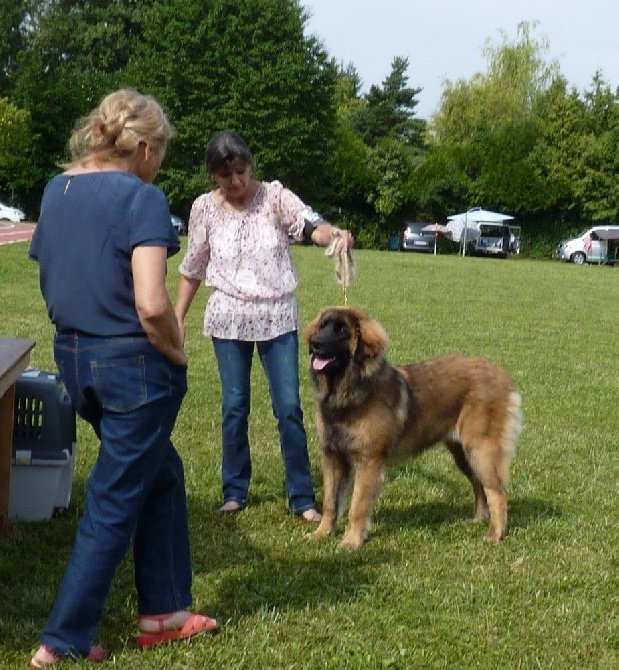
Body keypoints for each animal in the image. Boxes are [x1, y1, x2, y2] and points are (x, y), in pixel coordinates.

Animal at [306, 308, 524, 552]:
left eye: (342, 330)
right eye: (322, 326)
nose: (315, 343)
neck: (348, 392)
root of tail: (503, 376)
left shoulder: (368, 462)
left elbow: (357, 506)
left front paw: (351, 541)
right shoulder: (333, 457)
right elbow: (330, 503)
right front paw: (322, 533)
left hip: (481, 450)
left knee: (497, 492)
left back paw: (495, 535)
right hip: (463, 453)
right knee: (479, 485)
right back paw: (477, 519)